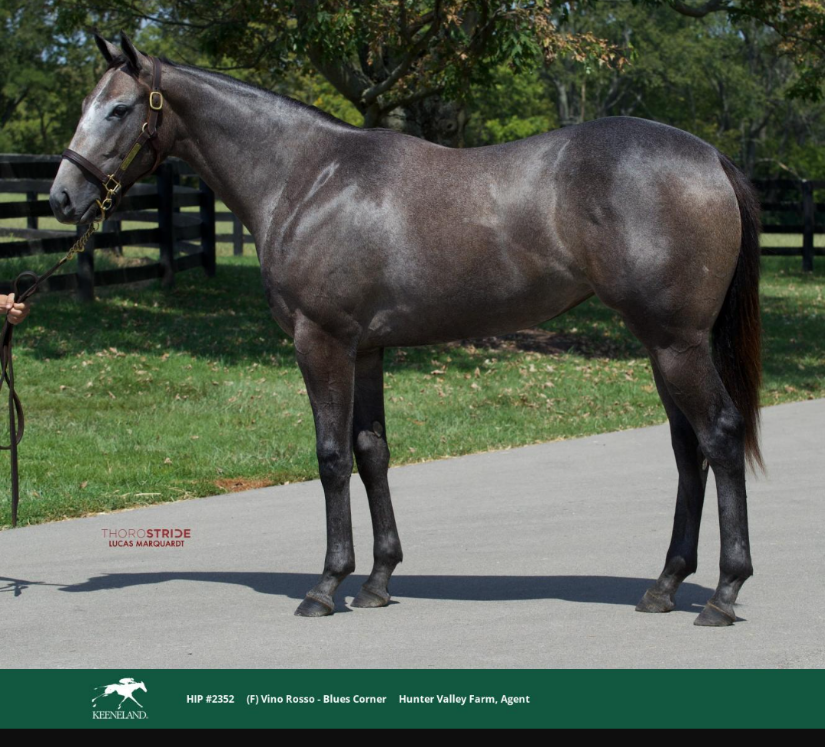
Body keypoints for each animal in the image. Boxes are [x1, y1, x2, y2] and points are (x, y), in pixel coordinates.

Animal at [50, 33, 763, 627]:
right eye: (87, 104)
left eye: (117, 110)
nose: (60, 198)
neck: (306, 178)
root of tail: (709, 157)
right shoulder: (366, 350)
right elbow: (373, 453)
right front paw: (377, 581)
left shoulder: (321, 342)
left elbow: (332, 458)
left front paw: (325, 587)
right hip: (662, 345)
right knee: (688, 450)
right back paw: (664, 587)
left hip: (676, 343)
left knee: (720, 437)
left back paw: (724, 594)